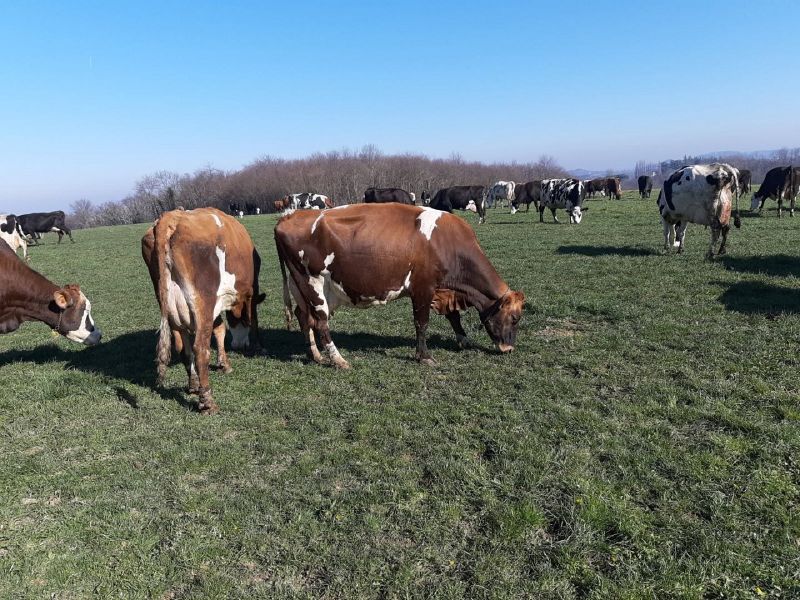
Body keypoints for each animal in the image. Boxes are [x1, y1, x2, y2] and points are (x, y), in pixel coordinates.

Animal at [142, 207, 265, 415]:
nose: (239, 345)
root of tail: (171, 217)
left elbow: (220, 329)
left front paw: (224, 363)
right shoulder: (249, 292)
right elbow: (252, 320)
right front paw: (257, 346)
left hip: (170, 308)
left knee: (183, 348)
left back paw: (193, 385)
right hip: (202, 304)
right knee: (200, 349)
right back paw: (207, 401)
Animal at [274, 204, 524, 368]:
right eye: (514, 319)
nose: (509, 349)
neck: (448, 243)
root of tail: (289, 216)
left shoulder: (444, 289)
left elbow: (453, 317)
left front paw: (464, 340)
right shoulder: (423, 288)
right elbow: (421, 323)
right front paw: (424, 356)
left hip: (302, 286)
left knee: (303, 317)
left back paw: (315, 355)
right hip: (312, 283)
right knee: (321, 322)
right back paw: (338, 359)